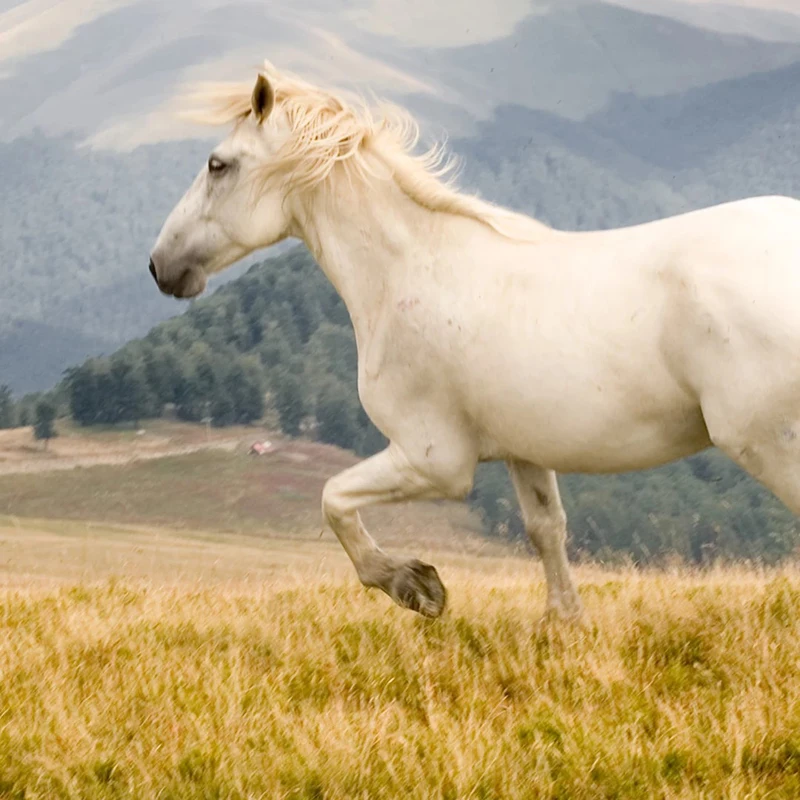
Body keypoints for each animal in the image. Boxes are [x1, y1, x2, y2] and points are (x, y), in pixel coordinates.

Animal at [150, 61, 800, 621]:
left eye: (218, 164)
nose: (161, 267)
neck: (409, 271)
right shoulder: (523, 451)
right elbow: (546, 531)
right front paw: (563, 627)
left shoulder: (433, 459)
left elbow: (333, 499)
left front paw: (416, 586)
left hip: (768, 444)